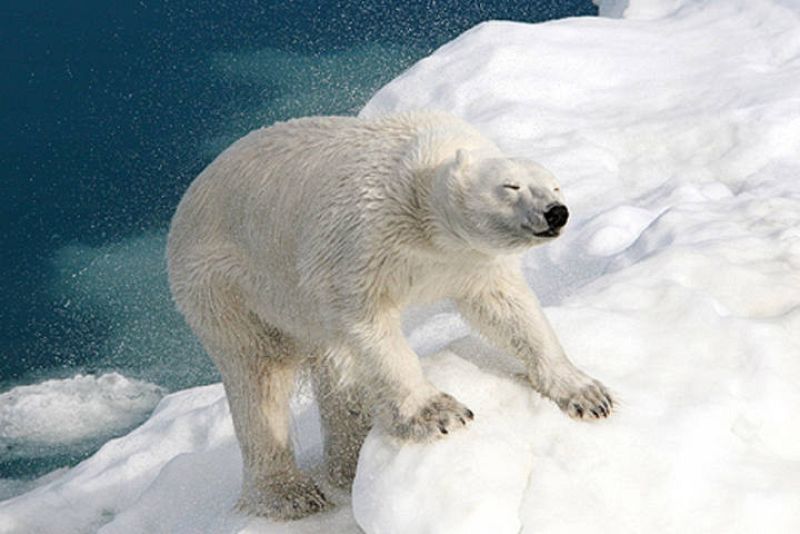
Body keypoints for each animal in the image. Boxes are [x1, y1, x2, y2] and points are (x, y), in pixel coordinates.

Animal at [166, 111, 613, 520]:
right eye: (511, 186)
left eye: (555, 184)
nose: (557, 212)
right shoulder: (363, 237)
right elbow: (367, 322)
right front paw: (440, 413)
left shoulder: (468, 261)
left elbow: (509, 310)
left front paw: (587, 394)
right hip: (230, 287)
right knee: (260, 379)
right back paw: (289, 493)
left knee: (333, 367)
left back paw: (347, 462)